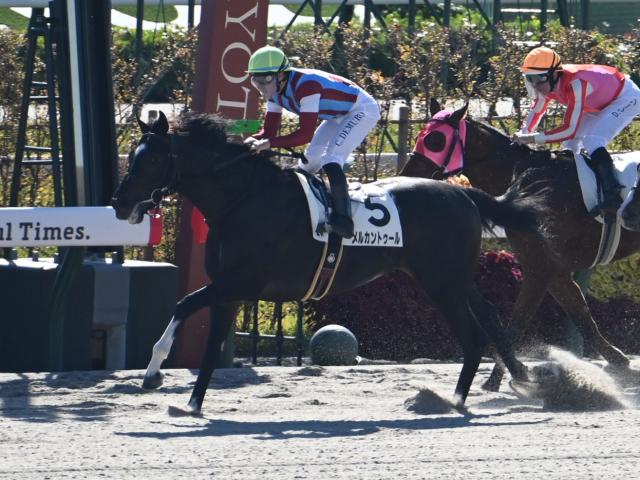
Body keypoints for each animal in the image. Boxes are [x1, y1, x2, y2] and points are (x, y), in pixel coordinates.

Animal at [111, 111, 544, 414]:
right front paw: (189, 403)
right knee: (488, 318)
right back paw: (510, 383)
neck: (243, 199)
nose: (119, 203)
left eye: (150, 161)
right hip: (452, 278)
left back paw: (452, 401)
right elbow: (204, 338)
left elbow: (184, 304)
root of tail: (465, 195)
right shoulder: (228, 289)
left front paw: (154, 374)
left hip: (441, 283)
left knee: (473, 336)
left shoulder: (243, 283)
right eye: (133, 157)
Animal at [400, 99, 634, 391]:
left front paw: (501, 378)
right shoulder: (553, 270)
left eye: (434, 140)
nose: (406, 176)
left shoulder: (539, 268)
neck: (525, 183)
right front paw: (618, 360)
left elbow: (517, 322)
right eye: (420, 137)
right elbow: (581, 315)